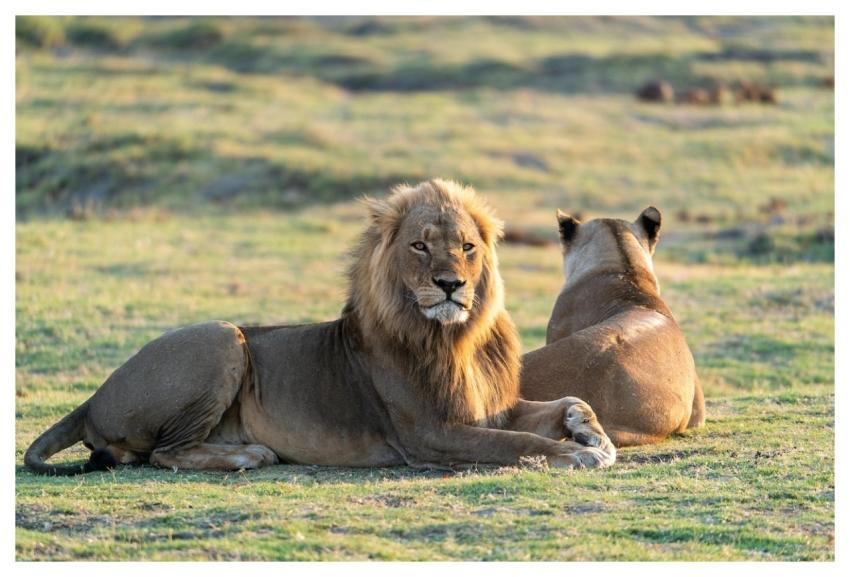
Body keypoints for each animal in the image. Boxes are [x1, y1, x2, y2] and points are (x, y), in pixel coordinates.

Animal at [25, 179, 616, 475]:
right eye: (419, 245)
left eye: (467, 247)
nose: (450, 284)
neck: (456, 338)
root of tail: (94, 395)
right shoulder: (431, 434)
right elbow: (515, 444)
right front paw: (576, 453)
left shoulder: (491, 408)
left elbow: (567, 401)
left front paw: (593, 434)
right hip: (222, 337)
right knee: (164, 454)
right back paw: (249, 454)